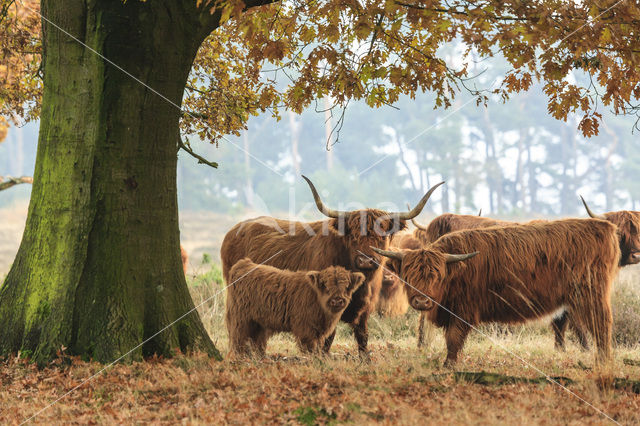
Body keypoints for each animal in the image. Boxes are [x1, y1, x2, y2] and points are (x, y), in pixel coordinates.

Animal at [226, 258, 364, 354]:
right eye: (324, 285)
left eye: (347, 286)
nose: (337, 300)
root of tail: (244, 263)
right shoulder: (305, 330)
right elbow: (309, 349)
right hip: (241, 319)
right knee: (238, 339)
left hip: (259, 323)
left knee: (257, 342)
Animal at [376, 220, 620, 366]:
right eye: (409, 275)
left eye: (436, 276)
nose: (421, 301)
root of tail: (604, 226)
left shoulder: (463, 311)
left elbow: (454, 340)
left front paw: (449, 365)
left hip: (590, 294)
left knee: (601, 325)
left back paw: (603, 361)